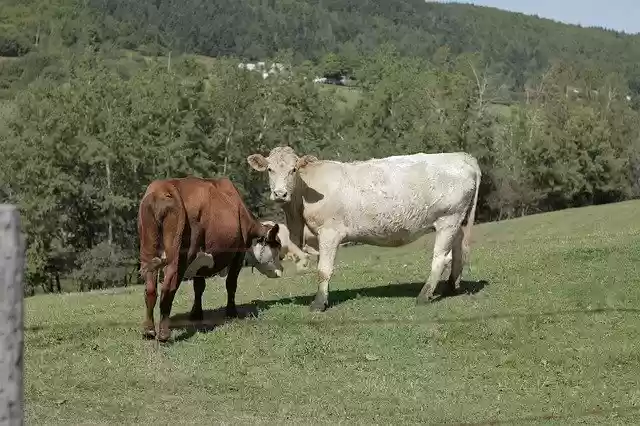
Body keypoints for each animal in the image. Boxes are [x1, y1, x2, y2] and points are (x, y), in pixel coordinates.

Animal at [138, 176, 284, 342]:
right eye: (277, 246)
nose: (281, 269)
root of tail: (164, 187)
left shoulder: (199, 261)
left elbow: (199, 287)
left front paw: (196, 314)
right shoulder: (238, 253)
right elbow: (231, 284)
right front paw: (231, 312)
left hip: (148, 249)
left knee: (150, 289)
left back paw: (149, 330)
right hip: (179, 255)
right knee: (168, 288)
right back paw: (163, 333)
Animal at [247, 146, 481, 311]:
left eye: (293, 169)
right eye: (270, 169)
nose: (280, 194)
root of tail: (461, 156)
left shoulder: (330, 232)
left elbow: (324, 269)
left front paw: (319, 303)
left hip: (448, 219)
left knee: (440, 258)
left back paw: (424, 296)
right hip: (456, 222)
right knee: (457, 252)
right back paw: (451, 287)